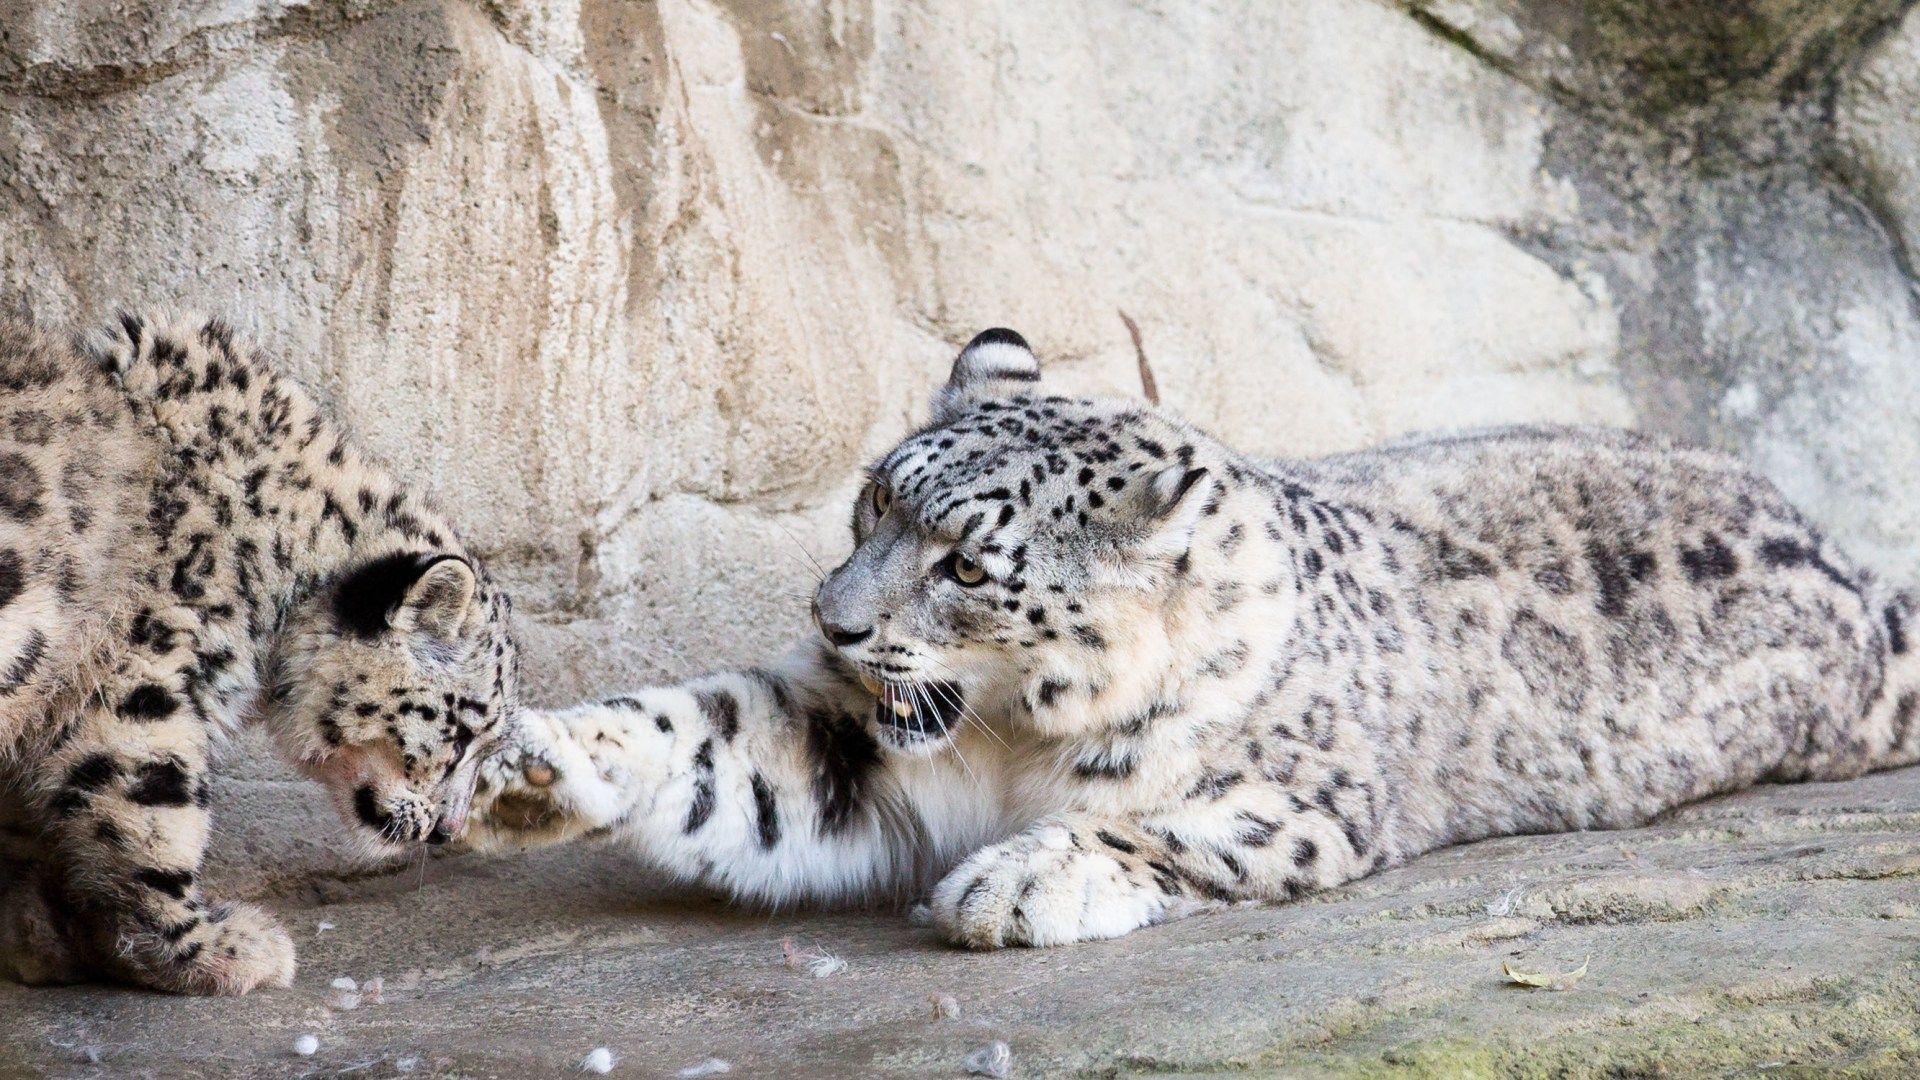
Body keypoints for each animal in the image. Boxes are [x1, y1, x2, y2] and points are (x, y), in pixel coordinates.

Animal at [0, 313, 518, 994]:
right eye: (463, 732)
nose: (449, 831)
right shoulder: (141, 675)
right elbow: (150, 808)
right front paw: (208, 948)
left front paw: (33, 932)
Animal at [462, 327, 1920, 949]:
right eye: (870, 503)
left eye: (967, 562)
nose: (836, 621)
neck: (1008, 737)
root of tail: (1843, 558)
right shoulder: (860, 750)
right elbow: (727, 748)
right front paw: (530, 758)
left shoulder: (1302, 800)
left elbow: (1159, 825)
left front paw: (1015, 881)